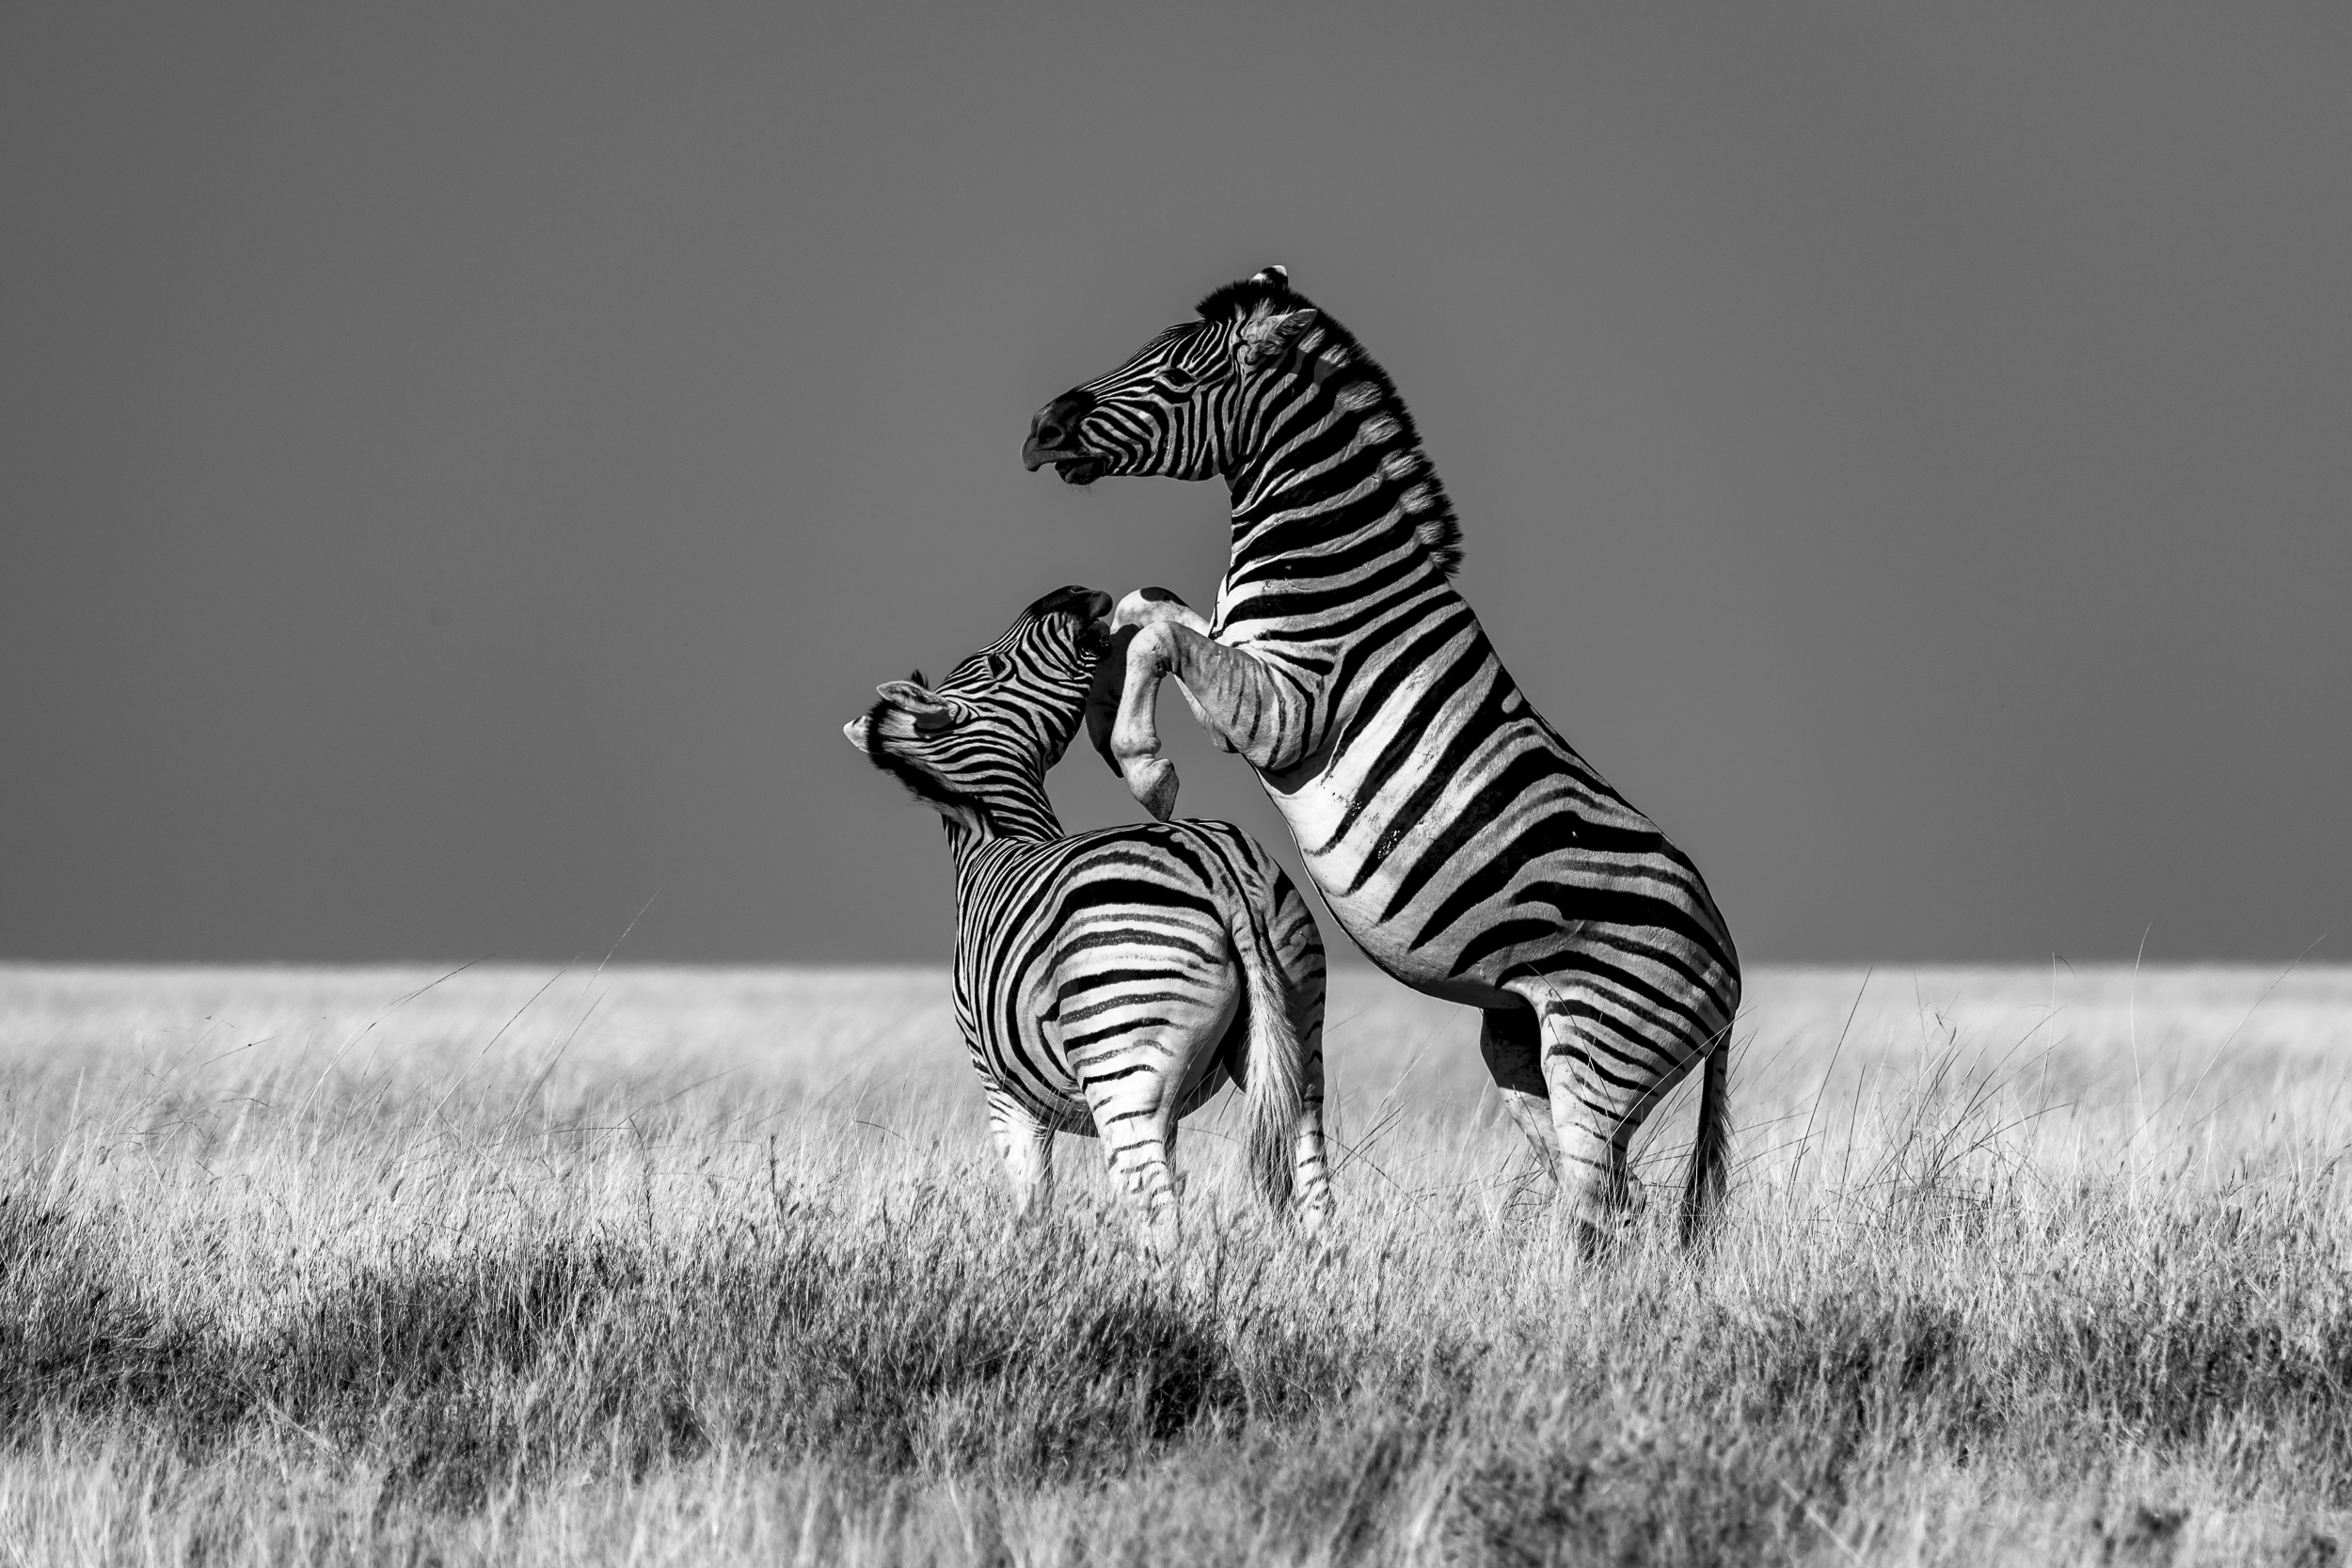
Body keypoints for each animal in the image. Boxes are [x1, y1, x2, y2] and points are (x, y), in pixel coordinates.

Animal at [841, 583, 1334, 1253]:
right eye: (994, 667)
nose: (1078, 594)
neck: (994, 836)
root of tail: (1220, 872)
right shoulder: (1056, 1099)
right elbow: (1039, 1203)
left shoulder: (1004, 1095)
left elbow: (1032, 1204)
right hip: (1294, 1036)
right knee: (1308, 1197)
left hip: (1121, 1062)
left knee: (1160, 1218)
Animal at [1020, 270, 1739, 1249]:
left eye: (1177, 370)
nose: (1042, 427)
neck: (1325, 555)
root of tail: (1732, 967)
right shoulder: (1236, 661)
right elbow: (1144, 607)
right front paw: (1105, 720)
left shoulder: (1288, 708)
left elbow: (1159, 631)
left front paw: (1144, 767)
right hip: (1524, 1048)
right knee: (1614, 1211)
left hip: (1603, 1046)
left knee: (1596, 1216)